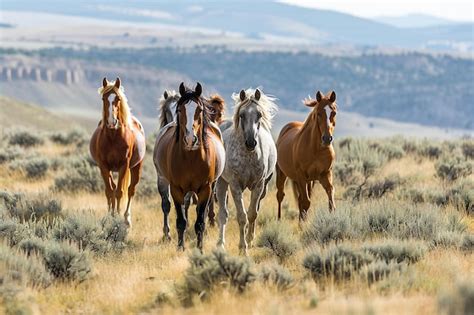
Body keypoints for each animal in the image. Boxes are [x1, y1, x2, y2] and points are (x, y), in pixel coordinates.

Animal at [89, 78, 144, 228]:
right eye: (103, 98)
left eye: (118, 98)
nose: (111, 122)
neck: (113, 137)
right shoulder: (103, 166)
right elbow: (109, 192)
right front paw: (110, 217)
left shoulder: (123, 166)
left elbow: (120, 192)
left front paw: (119, 218)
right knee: (113, 188)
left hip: (136, 167)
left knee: (130, 190)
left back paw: (126, 218)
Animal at [153, 82, 225, 251]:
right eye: (180, 109)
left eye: (200, 110)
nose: (191, 139)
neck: (191, 158)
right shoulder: (176, 189)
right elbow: (181, 219)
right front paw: (180, 247)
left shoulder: (206, 188)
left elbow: (200, 221)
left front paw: (200, 248)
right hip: (162, 180)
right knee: (166, 205)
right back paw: (167, 234)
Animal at [216, 87, 278, 256]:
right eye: (242, 115)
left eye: (259, 115)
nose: (251, 142)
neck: (248, 156)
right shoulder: (235, 185)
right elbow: (242, 216)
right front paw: (242, 248)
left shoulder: (259, 185)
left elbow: (252, 214)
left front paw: (249, 241)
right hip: (221, 183)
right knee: (223, 214)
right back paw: (220, 244)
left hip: (264, 188)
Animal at [274, 89, 336, 222]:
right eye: (318, 113)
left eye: (333, 112)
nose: (327, 139)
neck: (316, 149)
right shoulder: (301, 176)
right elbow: (306, 202)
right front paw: (303, 223)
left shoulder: (325, 174)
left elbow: (330, 198)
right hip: (282, 174)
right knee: (280, 195)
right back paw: (279, 220)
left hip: (309, 181)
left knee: (300, 199)